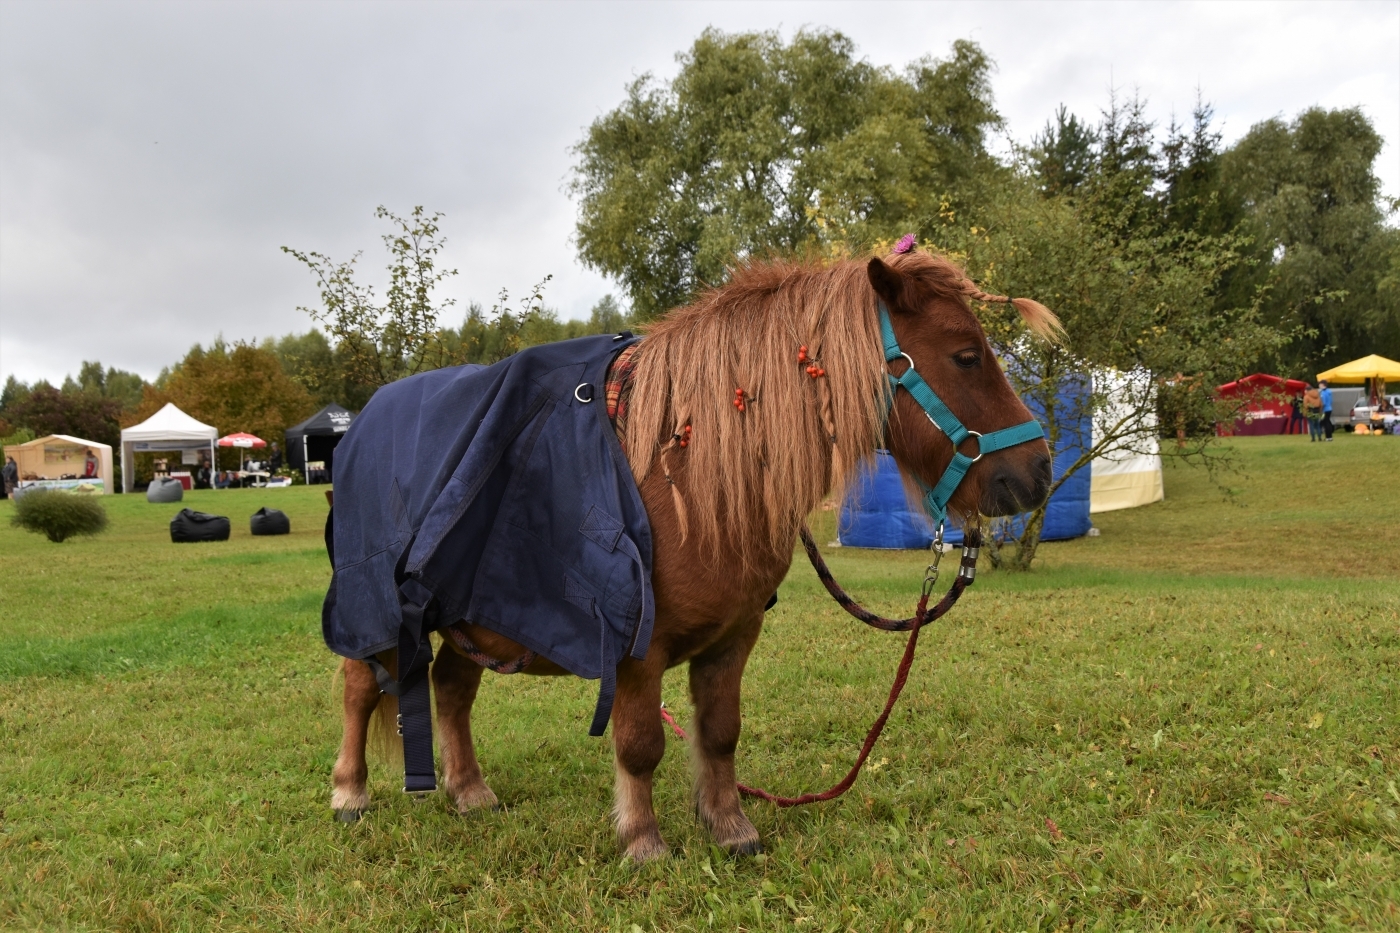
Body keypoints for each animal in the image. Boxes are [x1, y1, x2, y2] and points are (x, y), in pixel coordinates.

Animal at [333, 245, 1052, 857]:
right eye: (966, 355)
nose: (1039, 470)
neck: (690, 479)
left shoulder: (732, 640)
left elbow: (720, 732)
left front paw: (730, 826)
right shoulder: (636, 651)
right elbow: (640, 744)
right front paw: (643, 839)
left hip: (470, 616)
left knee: (452, 690)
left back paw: (470, 791)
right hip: (382, 615)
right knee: (361, 689)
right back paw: (350, 792)